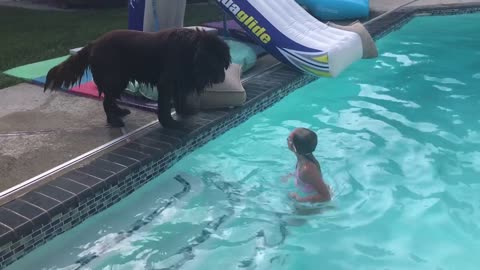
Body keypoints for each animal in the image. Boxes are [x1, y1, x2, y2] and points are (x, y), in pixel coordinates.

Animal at [44, 28, 232, 127]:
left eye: (224, 62)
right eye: (214, 62)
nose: (222, 78)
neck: (190, 48)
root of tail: (94, 43)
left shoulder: (179, 81)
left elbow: (180, 99)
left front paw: (184, 113)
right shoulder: (166, 82)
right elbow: (165, 106)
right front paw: (169, 123)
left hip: (120, 80)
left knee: (110, 99)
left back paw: (119, 111)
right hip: (115, 79)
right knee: (107, 101)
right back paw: (114, 121)